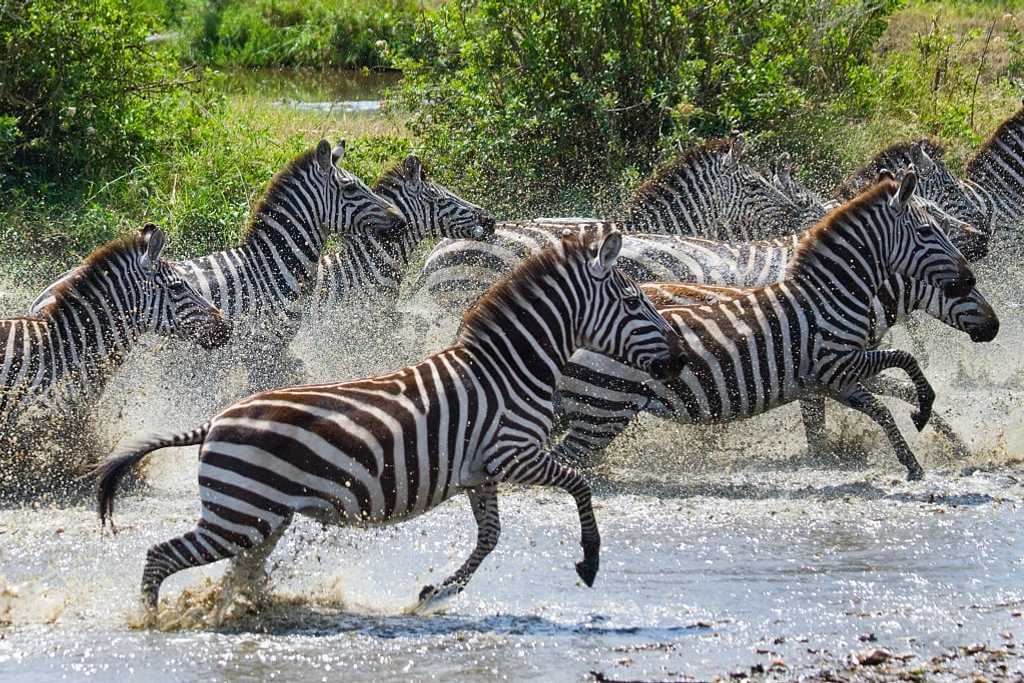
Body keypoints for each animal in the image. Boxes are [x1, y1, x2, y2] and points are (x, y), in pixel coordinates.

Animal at [88, 228, 679, 614]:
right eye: (634, 301)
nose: (676, 357)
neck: (509, 370)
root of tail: (212, 421)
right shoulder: (514, 454)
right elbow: (579, 484)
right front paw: (590, 563)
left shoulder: (482, 472)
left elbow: (490, 538)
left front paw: (435, 593)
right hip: (238, 516)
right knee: (160, 556)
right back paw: (151, 623)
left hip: (262, 518)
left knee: (232, 571)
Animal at [548, 171, 970, 481]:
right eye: (931, 229)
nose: (976, 243)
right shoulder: (830, 365)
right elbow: (826, 415)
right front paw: (825, 455)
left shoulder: (842, 366)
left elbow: (897, 390)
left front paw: (952, 440)